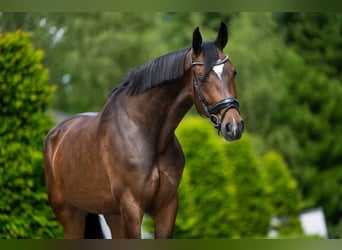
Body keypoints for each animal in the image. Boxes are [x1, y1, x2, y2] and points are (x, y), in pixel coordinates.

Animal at [44, 22, 244, 239]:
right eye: (202, 78)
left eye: (233, 72)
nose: (234, 126)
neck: (147, 133)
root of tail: (55, 134)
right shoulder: (132, 207)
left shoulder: (167, 207)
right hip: (70, 213)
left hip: (111, 213)